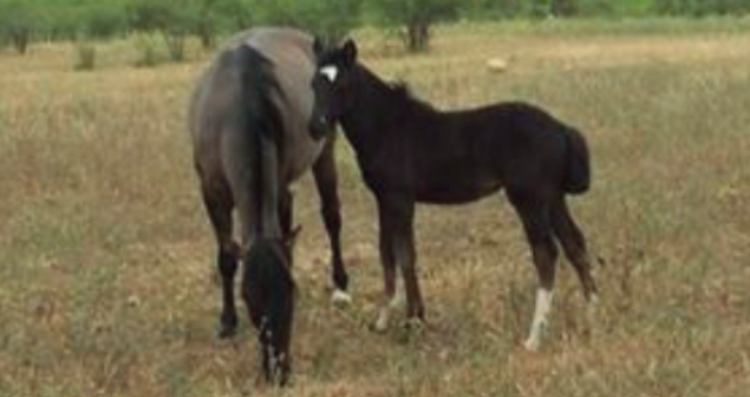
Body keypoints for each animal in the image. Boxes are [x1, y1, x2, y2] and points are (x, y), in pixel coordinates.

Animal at [188, 28, 352, 384]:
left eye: (291, 293)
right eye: (248, 298)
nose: (279, 370)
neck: (241, 104)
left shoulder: (281, 191)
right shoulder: (211, 193)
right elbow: (226, 257)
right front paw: (227, 322)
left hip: (325, 150)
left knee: (332, 215)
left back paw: (341, 284)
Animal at [310, 39, 600, 350]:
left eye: (341, 85)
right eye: (314, 83)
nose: (315, 126)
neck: (387, 128)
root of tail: (561, 129)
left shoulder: (400, 199)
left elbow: (406, 256)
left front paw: (414, 322)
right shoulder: (384, 199)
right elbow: (386, 254)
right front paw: (383, 321)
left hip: (529, 199)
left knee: (546, 253)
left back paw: (534, 338)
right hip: (553, 198)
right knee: (575, 245)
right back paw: (592, 316)